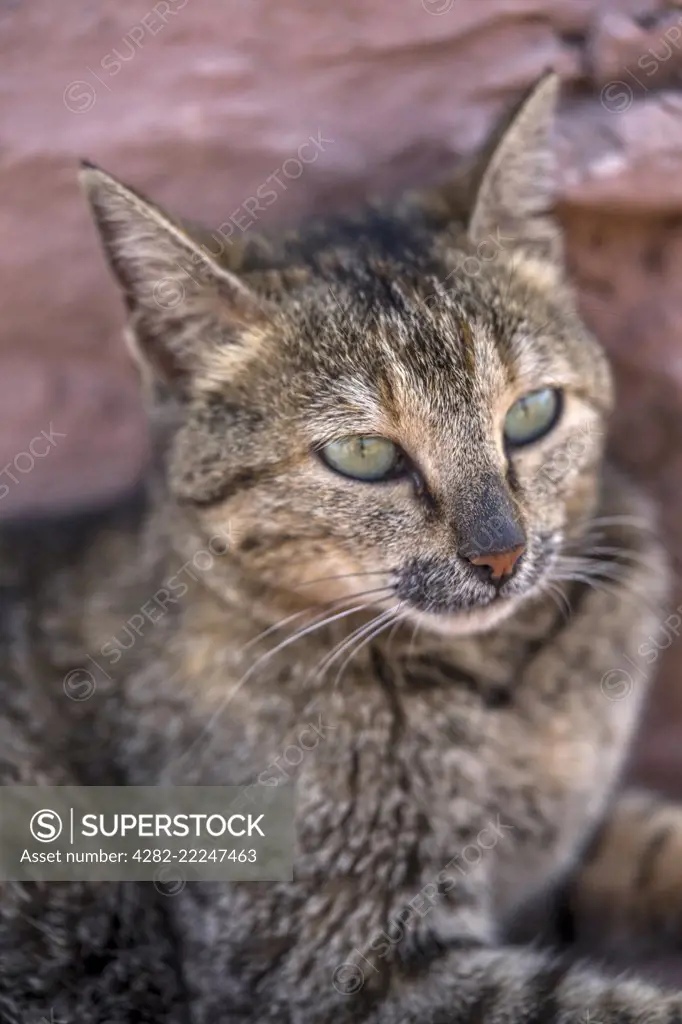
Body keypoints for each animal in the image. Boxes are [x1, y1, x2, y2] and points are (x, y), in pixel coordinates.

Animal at [1, 74, 679, 1024]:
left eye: (532, 414)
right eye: (364, 456)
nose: (500, 555)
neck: (504, 686)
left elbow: (653, 841)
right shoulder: (340, 968)